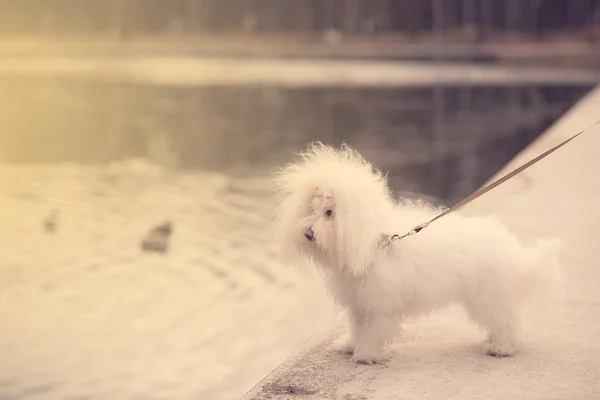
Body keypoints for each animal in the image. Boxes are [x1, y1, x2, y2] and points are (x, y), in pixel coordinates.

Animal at [272, 142, 564, 364]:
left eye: (330, 213)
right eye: (311, 209)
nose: (308, 233)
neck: (371, 243)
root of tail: (512, 248)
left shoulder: (379, 304)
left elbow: (373, 331)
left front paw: (365, 355)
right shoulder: (359, 302)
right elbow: (357, 326)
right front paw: (350, 345)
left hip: (487, 297)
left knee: (506, 320)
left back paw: (502, 347)